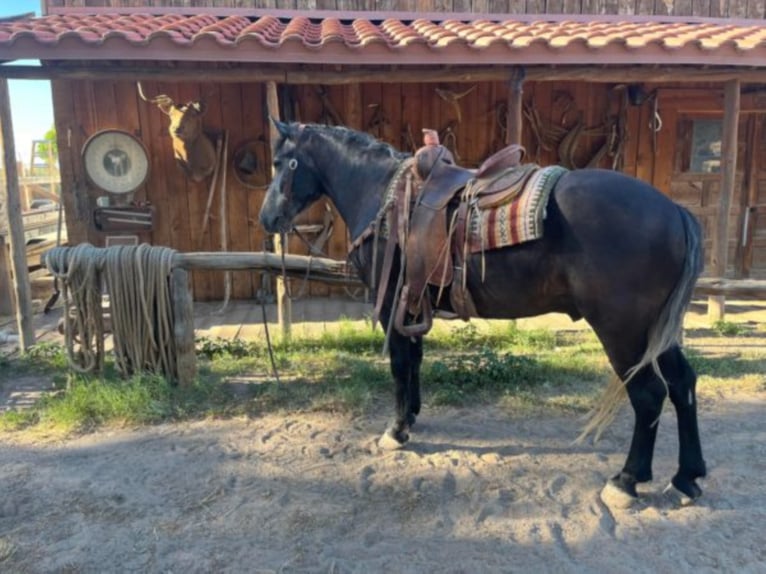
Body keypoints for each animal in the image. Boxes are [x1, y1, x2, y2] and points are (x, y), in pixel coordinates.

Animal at [260, 121, 712, 508]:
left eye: (282, 162)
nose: (267, 218)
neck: (382, 194)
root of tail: (674, 211)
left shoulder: (391, 303)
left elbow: (400, 365)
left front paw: (396, 430)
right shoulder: (413, 302)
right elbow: (415, 360)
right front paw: (412, 416)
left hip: (622, 331)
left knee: (649, 394)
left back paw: (626, 481)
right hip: (654, 331)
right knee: (683, 384)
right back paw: (686, 478)